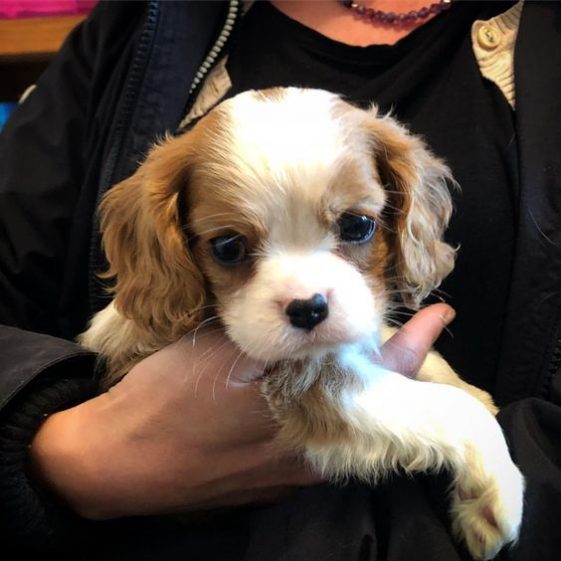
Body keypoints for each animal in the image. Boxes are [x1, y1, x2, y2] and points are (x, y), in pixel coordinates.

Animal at [81, 88, 524, 560]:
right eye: (227, 247)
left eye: (357, 225)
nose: (308, 309)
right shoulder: (302, 383)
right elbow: (447, 409)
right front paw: (494, 490)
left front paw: (469, 389)